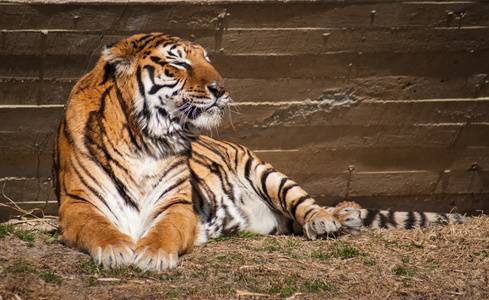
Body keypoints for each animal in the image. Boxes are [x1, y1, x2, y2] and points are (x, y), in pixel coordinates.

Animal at [53, 32, 466, 272]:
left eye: (206, 59)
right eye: (179, 63)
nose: (221, 88)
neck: (145, 137)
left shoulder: (176, 205)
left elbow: (164, 230)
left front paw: (153, 255)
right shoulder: (78, 204)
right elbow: (99, 228)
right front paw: (117, 251)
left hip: (267, 172)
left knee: (306, 205)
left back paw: (333, 218)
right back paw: (345, 216)